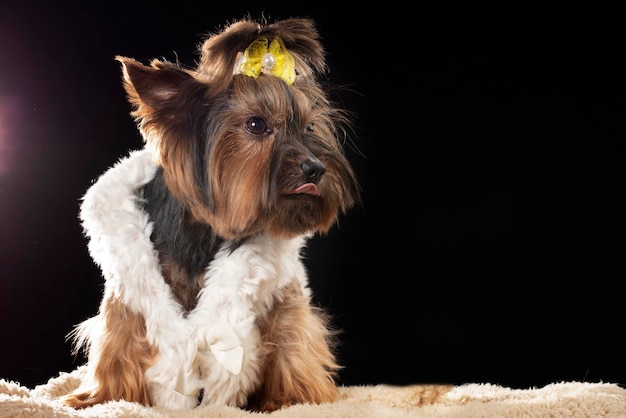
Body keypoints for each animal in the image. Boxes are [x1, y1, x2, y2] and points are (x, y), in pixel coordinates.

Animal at [62, 17, 360, 412]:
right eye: (256, 125)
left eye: (309, 127)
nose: (315, 169)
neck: (206, 232)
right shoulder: (129, 294)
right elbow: (121, 340)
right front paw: (101, 397)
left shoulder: (283, 297)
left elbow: (291, 341)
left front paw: (292, 400)